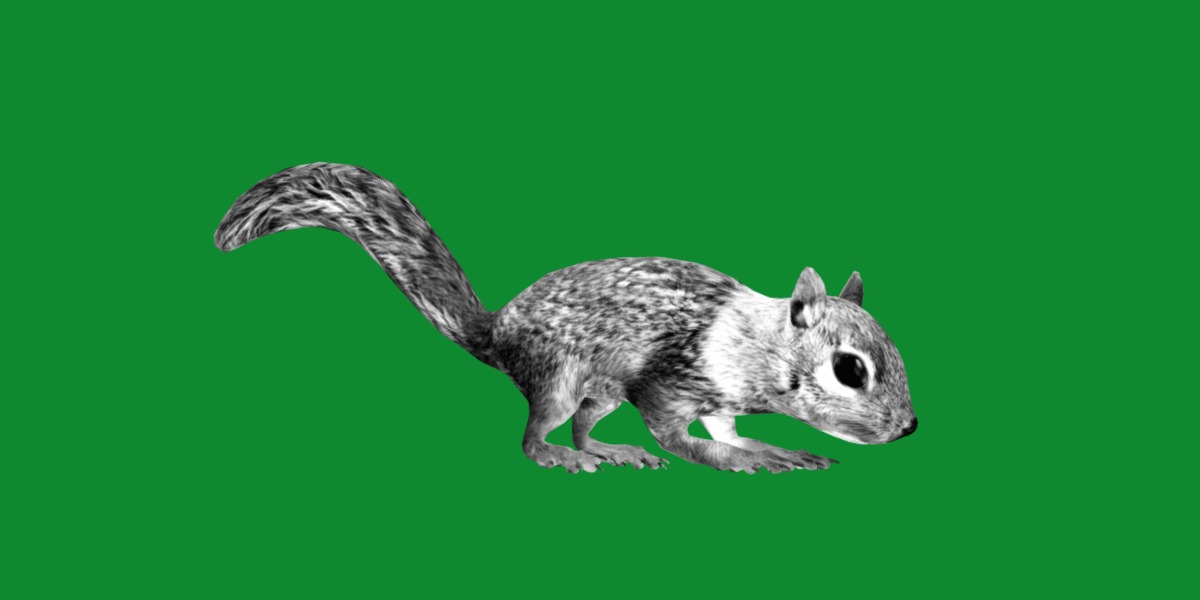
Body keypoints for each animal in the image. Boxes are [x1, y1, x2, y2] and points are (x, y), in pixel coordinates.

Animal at [215, 163, 916, 474]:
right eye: (849, 369)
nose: (908, 428)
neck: (753, 345)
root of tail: (497, 332)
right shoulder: (667, 381)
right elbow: (682, 437)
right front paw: (736, 460)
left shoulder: (720, 399)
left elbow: (730, 429)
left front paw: (770, 448)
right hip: (558, 378)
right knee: (536, 436)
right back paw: (563, 457)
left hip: (599, 392)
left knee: (582, 426)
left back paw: (606, 448)